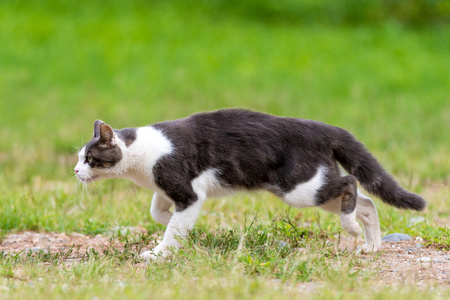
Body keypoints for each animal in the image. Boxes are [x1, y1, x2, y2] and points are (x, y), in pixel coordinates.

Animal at [74, 108, 426, 260]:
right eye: (79, 157)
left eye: (89, 158)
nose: (76, 171)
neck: (139, 155)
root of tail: (321, 128)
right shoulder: (173, 189)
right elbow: (158, 213)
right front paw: (181, 226)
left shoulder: (186, 190)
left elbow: (174, 226)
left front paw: (160, 253)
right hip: (311, 186)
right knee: (367, 201)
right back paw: (371, 244)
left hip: (300, 187)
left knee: (351, 182)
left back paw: (351, 228)